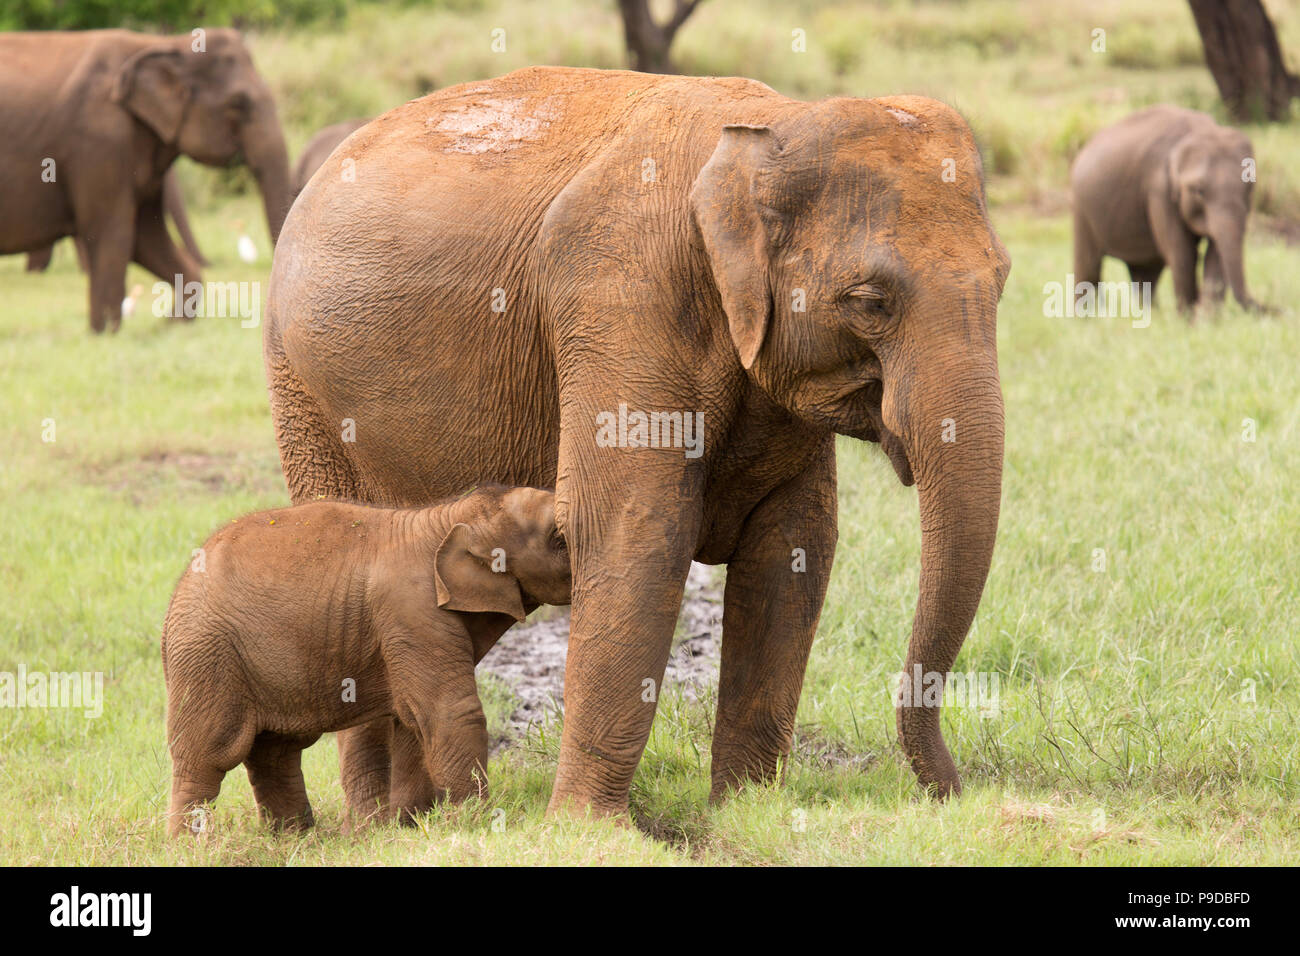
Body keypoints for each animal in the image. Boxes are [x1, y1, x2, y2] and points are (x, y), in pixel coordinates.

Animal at [161, 486, 569, 837]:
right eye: (557, 536)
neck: (447, 516)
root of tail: (173, 602)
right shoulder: (412, 609)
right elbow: (449, 712)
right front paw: (474, 823)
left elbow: (411, 722)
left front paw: (410, 827)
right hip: (205, 656)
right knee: (207, 756)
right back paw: (190, 847)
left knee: (275, 752)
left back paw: (296, 840)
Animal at [266, 65, 1013, 816]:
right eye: (869, 301)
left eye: (1003, 282)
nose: (952, 795)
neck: (771, 125)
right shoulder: (621, 294)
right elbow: (634, 529)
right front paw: (596, 825)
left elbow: (794, 544)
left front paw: (743, 812)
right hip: (302, 392)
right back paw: (377, 823)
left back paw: (409, 817)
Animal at [1066, 104, 1258, 314]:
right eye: (1198, 191)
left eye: (1249, 187)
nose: (1267, 309)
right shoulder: (1159, 190)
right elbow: (1183, 254)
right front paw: (1188, 318)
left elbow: (1215, 254)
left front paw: (1206, 319)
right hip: (1082, 208)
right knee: (1089, 267)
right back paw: (1088, 319)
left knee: (1146, 273)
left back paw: (1150, 315)